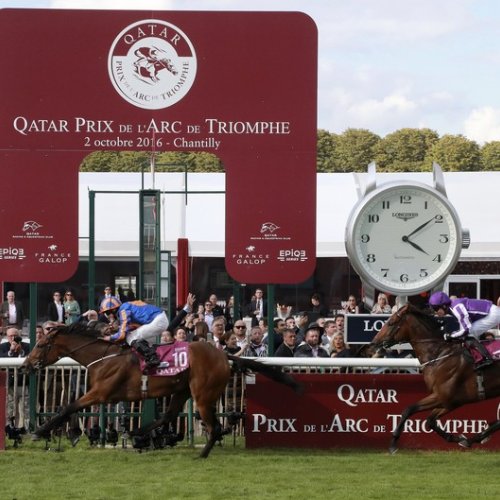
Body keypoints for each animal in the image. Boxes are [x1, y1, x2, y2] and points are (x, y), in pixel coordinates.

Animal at [21, 324, 298, 458]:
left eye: (41, 344)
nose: (25, 366)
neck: (103, 356)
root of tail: (223, 354)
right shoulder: (101, 395)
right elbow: (71, 408)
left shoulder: (101, 393)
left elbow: (67, 407)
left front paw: (38, 432)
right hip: (182, 390)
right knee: (168, 415)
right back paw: (138, 433)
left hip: (202, 395)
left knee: (214, 427)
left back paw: (202, 454)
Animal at [374, 304, 500, 454]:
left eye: (391, 323)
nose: (374, 342)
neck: (439, 354)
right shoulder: (450, 401)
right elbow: (430, 421)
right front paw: (458, 438)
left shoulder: (444, 397)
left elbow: (409, 409)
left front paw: (393, 443)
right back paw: (476, 438)